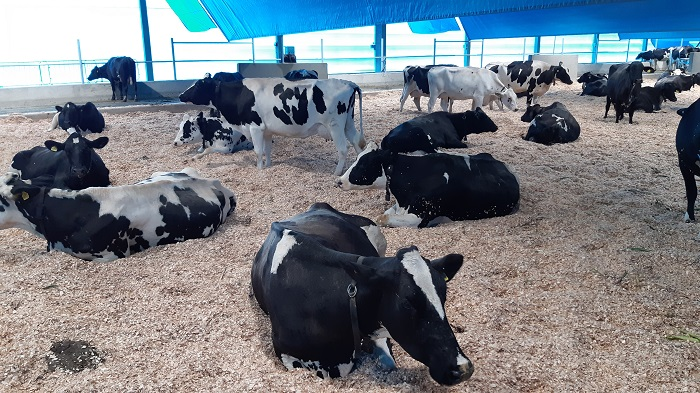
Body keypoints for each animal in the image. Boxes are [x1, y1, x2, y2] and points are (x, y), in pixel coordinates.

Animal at [179, 74, 366, 175]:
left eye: (198, 85)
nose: (181, 95)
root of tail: (349, 83)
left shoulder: (255, 127)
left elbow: (258, 150)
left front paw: (259, 169)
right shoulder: (266, 130)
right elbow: (267, 150)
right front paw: (268, 166)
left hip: (335, 125)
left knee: (343, 149)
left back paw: (337, 173)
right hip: (348, 123)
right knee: (357, 143)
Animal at [336, 142, 524, 227]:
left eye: (363, 164)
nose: (339, 181)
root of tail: (504, 166)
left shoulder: (420, 216)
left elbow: (383, 217)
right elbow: (386, 214)